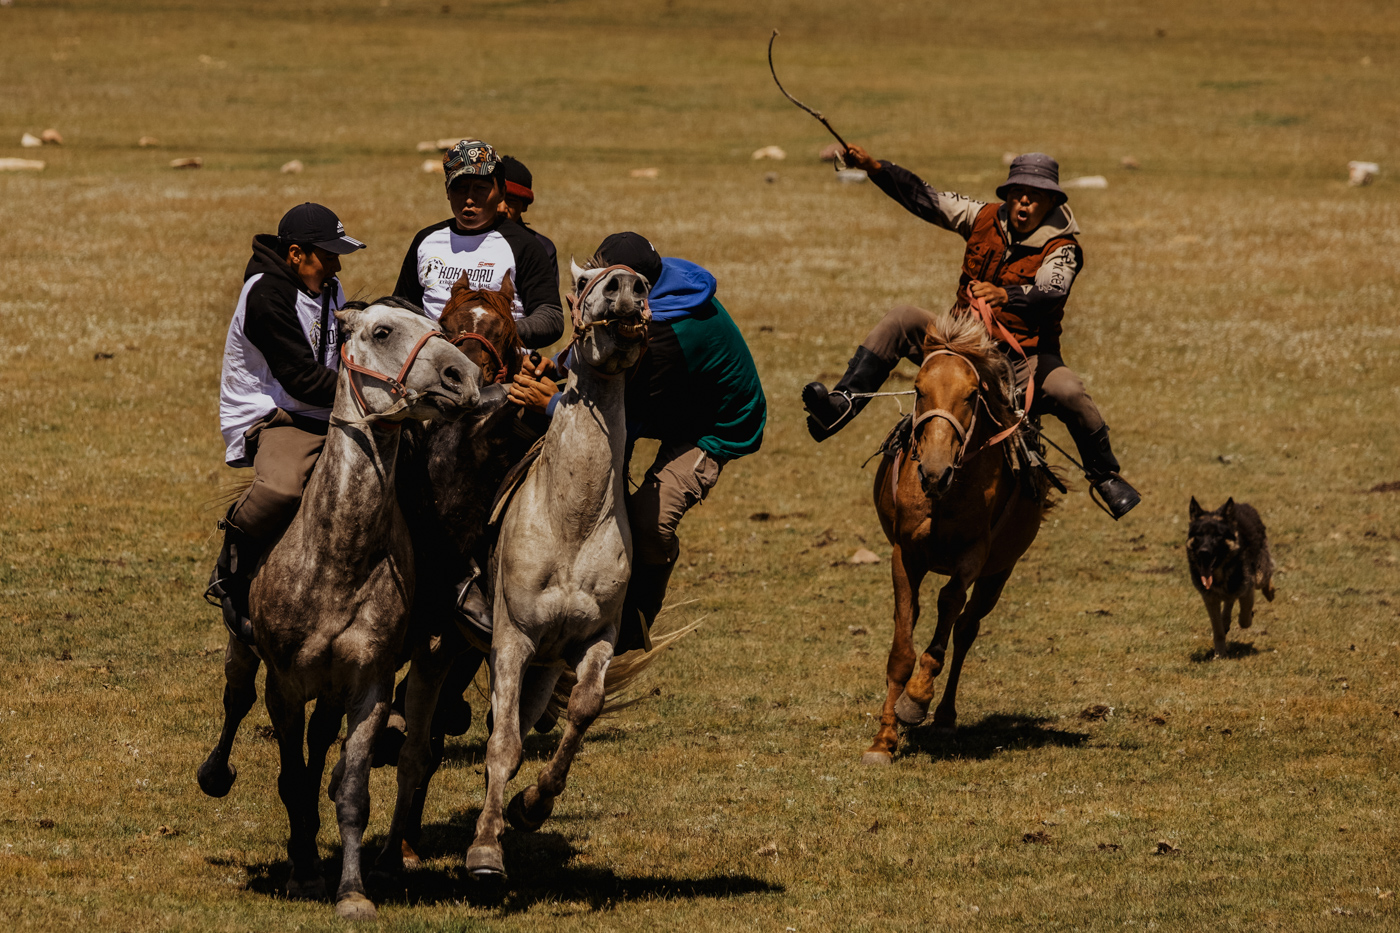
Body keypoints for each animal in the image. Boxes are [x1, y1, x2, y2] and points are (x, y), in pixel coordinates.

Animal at [194, 298, 481, 913]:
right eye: (383, 331)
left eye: (439, 329)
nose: (464, 377)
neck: (338, 553)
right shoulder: (283, 685)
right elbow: (289, 777)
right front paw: (304, 871)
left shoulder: (369, 684)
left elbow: (351, 789)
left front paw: (351, 890)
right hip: (242, 647)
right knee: (235, 698)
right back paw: (215, 773)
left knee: (359, 748)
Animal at [464, 261, 649, 879]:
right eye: (586, 281)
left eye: (644, 287)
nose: (627, 288)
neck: (572, 519)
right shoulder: (512, 641)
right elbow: (502, 742)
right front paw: (485, 849)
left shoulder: (597, 636)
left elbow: (583, 710)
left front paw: (531, 806)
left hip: (546, 666)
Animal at [856, 312, 1052, 762]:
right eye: (918, 389)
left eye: (972, 394)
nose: (934, 471)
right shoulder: (904, 555)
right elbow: (901, 647)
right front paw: (884, 739)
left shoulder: (973, 558)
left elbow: (948, 610)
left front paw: (916, 701)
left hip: (998, 574)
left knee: (965, 630)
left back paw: (944, 717)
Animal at [1187, 498, 1276, 658]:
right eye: (1198, 535)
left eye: (1217, 536)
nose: (1204, 552)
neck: (1219, 572)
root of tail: (1242, 504)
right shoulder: (1210, 599)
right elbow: (1218, 630)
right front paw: (1220, 654)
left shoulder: (1247, 587)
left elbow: (1245, 617)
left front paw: (1247, 616)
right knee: (1229, 602)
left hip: (1259, 575)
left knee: (1265, 577)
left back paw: (1270, 592)